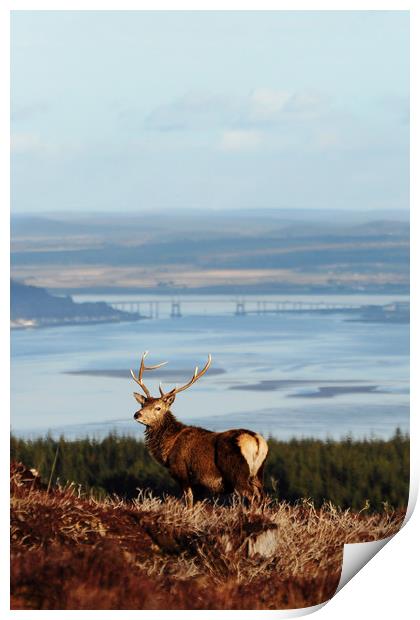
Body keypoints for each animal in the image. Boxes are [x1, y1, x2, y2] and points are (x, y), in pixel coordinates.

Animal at [132, 352, 270, 506]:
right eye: (143, 404)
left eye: (158, 408)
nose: (137, 414)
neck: (167, 450)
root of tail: (257, 441)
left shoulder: (182, 472)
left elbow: (188, 501)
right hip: (258, 474)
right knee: (263, 497)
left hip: (237, 473)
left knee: (252, 496)